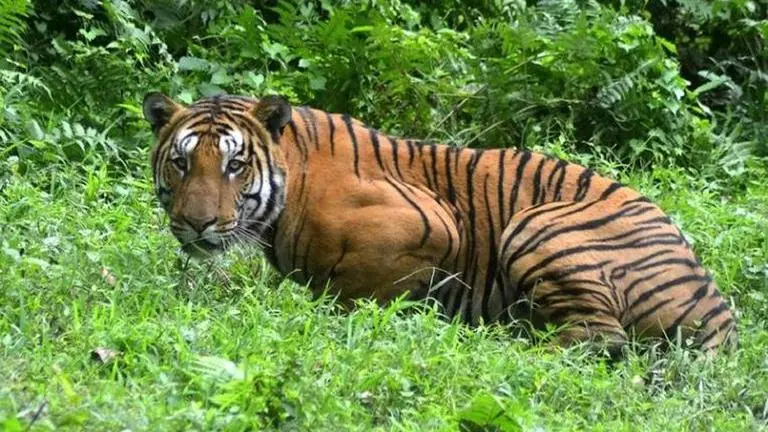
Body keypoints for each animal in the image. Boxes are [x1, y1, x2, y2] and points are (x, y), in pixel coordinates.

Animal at [141, 91, 738, 355]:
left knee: (598, 339)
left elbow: (356, 292)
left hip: (537, 224)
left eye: (235, 165)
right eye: (181, 162)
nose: (196, 224)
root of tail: (718, 310)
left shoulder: (433, 224)